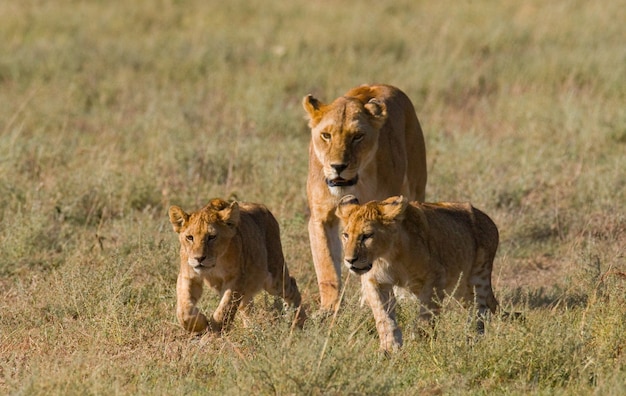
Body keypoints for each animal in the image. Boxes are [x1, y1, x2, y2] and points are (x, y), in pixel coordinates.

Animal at [302, 84, 424, 312]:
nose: (338, 166)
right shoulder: (321, 217)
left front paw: (371, 301)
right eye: (326, 135)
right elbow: (326, 266)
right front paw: (329, 309)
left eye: (357, 136)